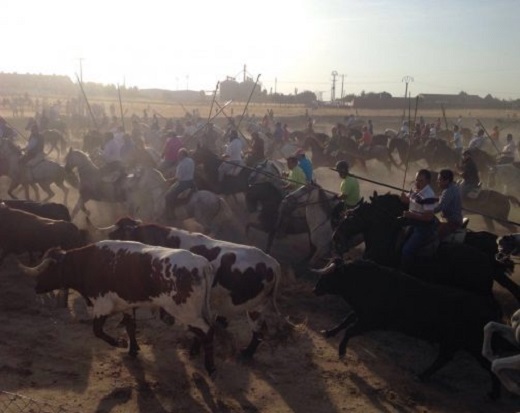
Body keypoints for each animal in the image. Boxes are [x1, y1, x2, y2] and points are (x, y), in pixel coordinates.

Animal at [18, 240, 217, 374]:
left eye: (47, 269)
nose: (36, 287)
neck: (87, 263)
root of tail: (202, 264)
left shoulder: (102, 304)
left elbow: (97, 331)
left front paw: (119, 343)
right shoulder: (126, 305)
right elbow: (130, 327)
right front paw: (132, 349)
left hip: (186, 312)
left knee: (207, 331)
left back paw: (210, 366)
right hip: (195, 312)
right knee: (204, 330)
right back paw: (195, 352)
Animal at [98, 216, 284, 358]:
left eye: (116, 234)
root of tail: (272, 263)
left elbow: (131, 323)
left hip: (253, 308)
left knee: (256, 331)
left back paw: (244, 354)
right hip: (256, 307)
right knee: (258, 330)